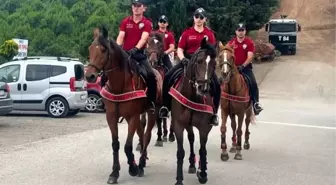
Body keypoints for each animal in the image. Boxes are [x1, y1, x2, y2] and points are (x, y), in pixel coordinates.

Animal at [85, 25, 161, 184]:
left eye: (103, 50)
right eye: (90, 48)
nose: (90, 76)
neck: (119, 85)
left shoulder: (132, 117)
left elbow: (127, 146)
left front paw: (133, 168)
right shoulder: (111, 117)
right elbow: (116, 144)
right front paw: (114, 172)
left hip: (152, 112)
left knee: (147, 135)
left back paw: (141, 163)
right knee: (141, 134)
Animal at [171, 36, 218, 184]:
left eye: (214, 64)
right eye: (199, 61)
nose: (203, 88)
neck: (192, 96)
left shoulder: (204, 127)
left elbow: (203, 149)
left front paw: (202, 174)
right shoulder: (178, 124)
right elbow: (180, 152)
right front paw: (179, 179)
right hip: (187, 124)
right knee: (191, 138)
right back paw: (192, 164)